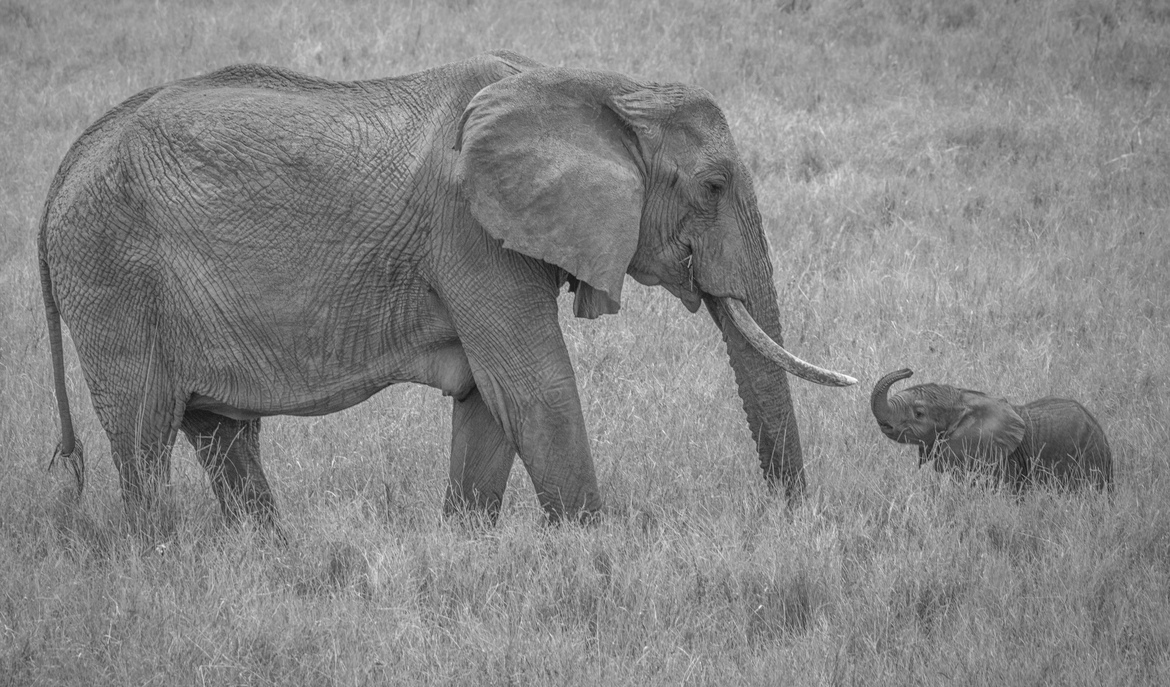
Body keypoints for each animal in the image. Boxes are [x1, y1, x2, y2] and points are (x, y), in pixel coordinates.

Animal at [38, 50, 857, 529]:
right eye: (713, 186)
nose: (790, 522)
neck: (604, 88)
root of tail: (72, 155)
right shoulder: (471, 234)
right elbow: (536, 388)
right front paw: (598, 552)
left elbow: (488, 402)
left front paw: (468, 543)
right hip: (110, 272)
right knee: (144, 433)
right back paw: (160, 552)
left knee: (221, 434)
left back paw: (263, 547)